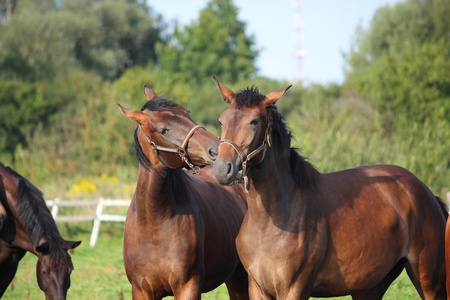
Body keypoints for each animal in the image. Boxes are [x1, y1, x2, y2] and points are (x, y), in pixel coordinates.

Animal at [118, 85, 248, 300]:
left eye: (188, 113)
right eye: (164, 129)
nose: (217, 150)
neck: (153, 222)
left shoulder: (188, 287)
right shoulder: (141, 290)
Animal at [213, 78, 448, 300]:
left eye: (254, 121)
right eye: (222, 120)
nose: (222, 169)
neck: (271, 223)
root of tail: (426, 192)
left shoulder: (294, 289)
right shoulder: (257, 289)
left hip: (429, 280)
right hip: (369, 287)